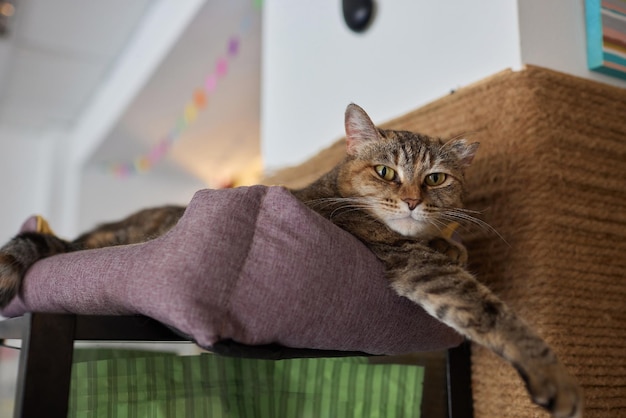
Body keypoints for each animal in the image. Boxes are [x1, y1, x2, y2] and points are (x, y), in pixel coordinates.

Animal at [0, 103, 576, 418]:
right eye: (386, 173)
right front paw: (556, 381)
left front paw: (453, 240)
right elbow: (490, 312)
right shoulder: (418, 266)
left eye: (436, 178)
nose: (414, 201)